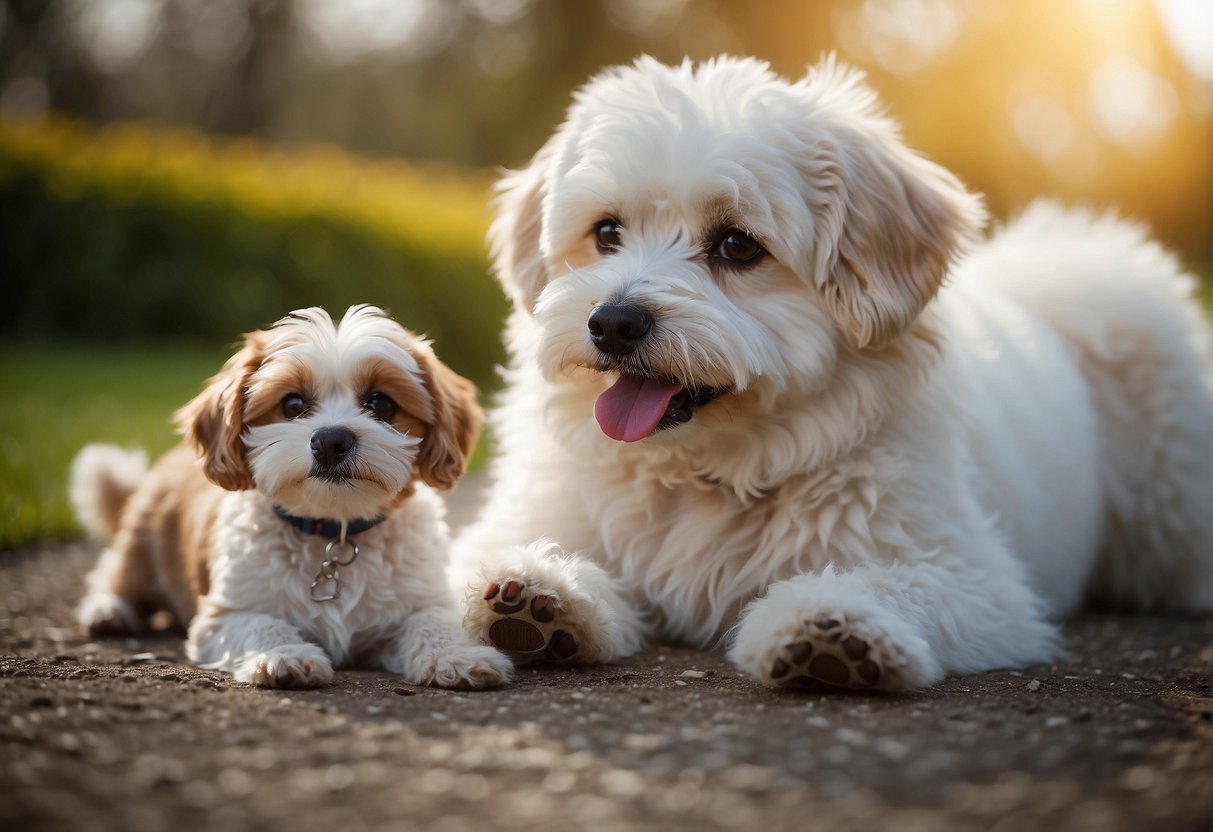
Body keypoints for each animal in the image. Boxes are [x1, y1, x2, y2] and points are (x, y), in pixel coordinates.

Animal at [74, 306, 511, 688]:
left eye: (382, 404)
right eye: (293, 403)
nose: (331, 440)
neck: (334, 532)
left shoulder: (421, 600)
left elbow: (433, 623)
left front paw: (457, 655)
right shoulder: (221, 617)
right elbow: (262, 623)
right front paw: (283, 654)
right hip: (141, 544)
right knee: (115, 574)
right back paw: (108, 609)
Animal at [456, 53, 1213, 688]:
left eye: (737, 245)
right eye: (606, 232)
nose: (613, 322)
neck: (704, 466)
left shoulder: (977, 583)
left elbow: (895, 585)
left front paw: (832, 626)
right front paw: (540, 596)